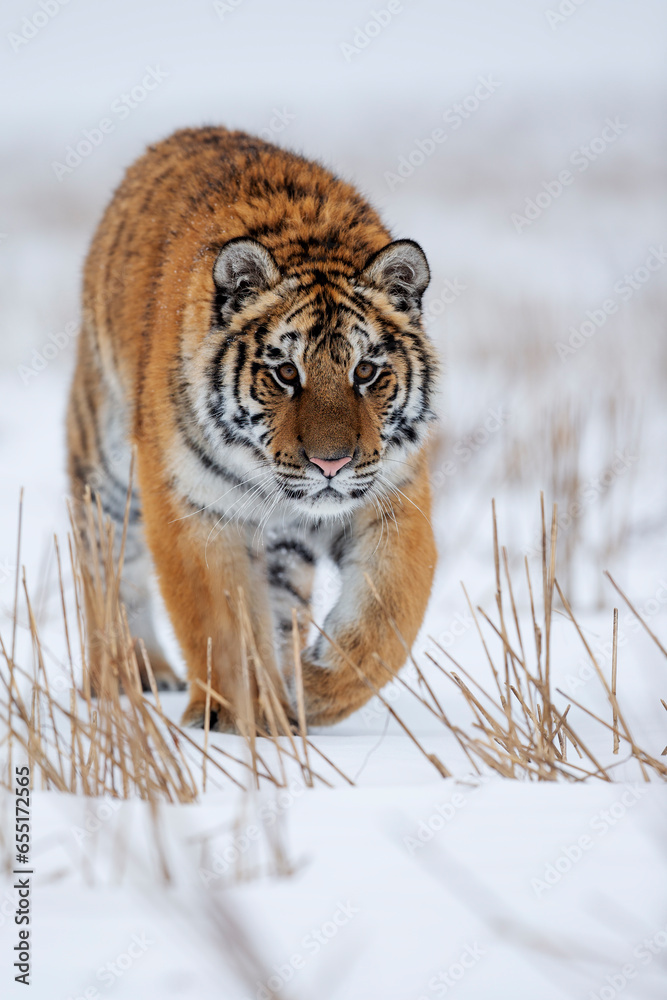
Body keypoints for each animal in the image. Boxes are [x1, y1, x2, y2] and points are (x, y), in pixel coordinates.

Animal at [66, 126, 438, 729]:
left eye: (365, 371)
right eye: (286, 373)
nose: (331, 464)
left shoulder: (393, 497)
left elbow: (388, 618)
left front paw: (312, 688)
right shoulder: (196, 510)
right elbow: (222, 626)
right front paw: (242, 714)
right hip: (107, 469)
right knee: (106, 569)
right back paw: (129, 674)